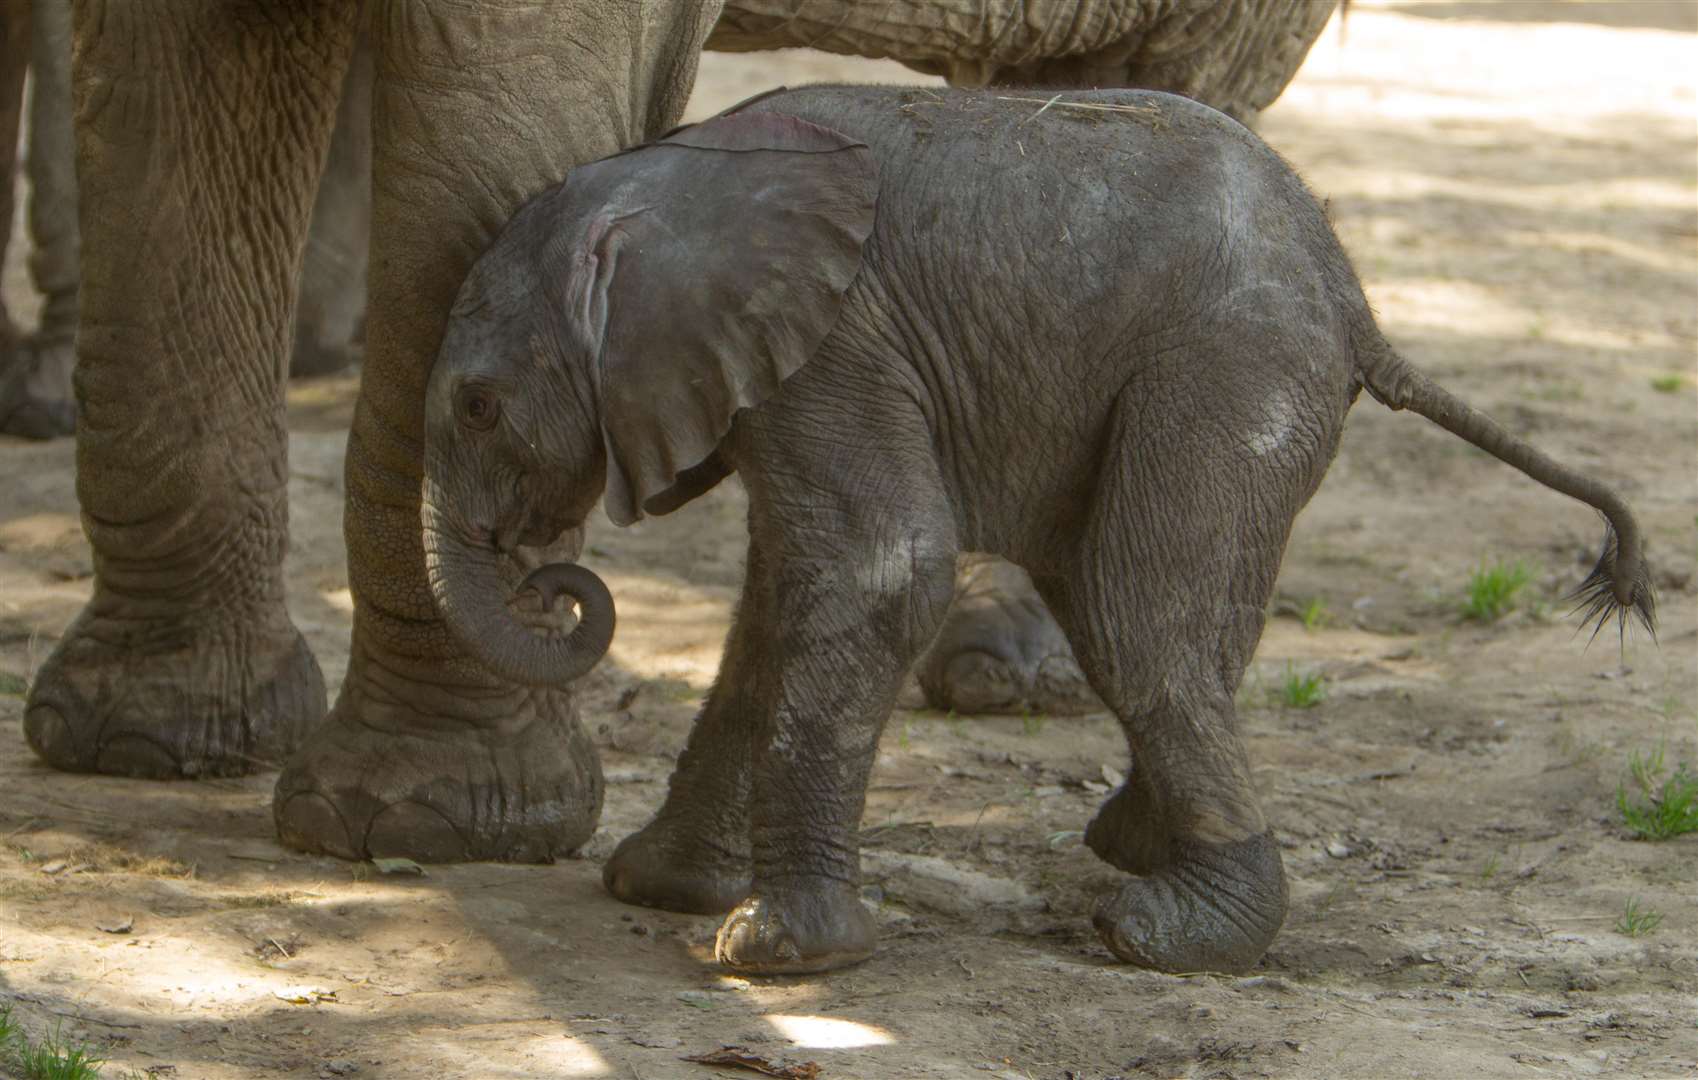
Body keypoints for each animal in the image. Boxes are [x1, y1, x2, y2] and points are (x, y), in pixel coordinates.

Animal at [417, 88, 1650, 971]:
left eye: (477, 406)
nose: (550, 581)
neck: (673, 175)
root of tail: (1358, 303)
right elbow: (780, 599)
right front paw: (658, 889)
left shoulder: (840, 343)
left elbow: (880, 574)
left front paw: (769, 955)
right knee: (1152, 612)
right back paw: (1137, 849)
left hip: (1230, 373)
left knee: (1131, 612)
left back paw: (1162, 936)